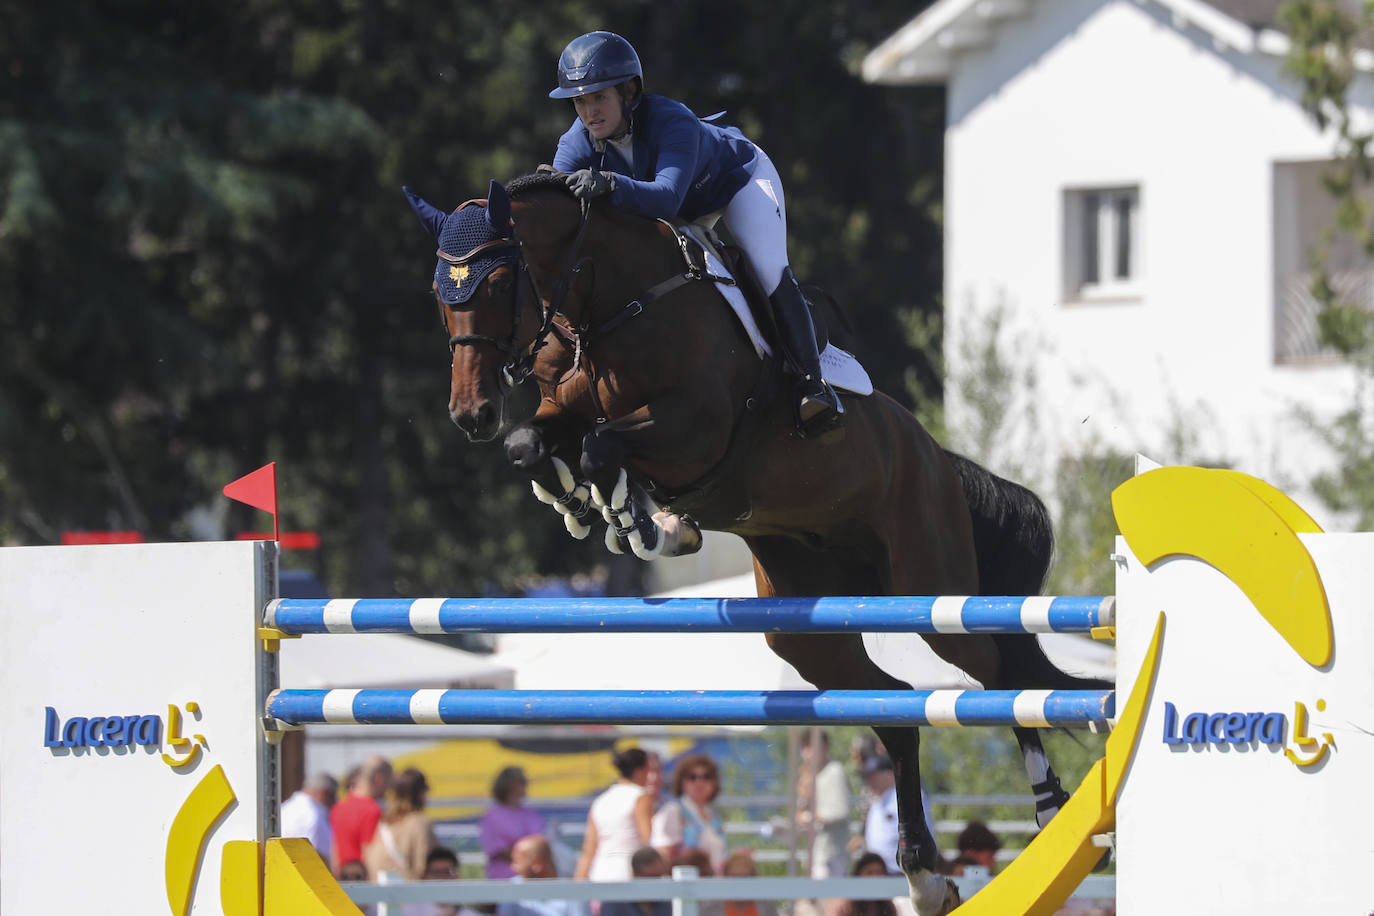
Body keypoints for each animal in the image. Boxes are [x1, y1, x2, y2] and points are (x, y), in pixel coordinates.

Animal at [406, 175, 1093, 911]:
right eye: (439, 294)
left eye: (501, 280)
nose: (470, 413)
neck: (610, 306)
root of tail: (935, 455)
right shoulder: (563, 406)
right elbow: (535, 443)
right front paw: (593, 507)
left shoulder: (694, 429)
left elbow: (602, 446)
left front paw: (640, 521)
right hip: (806, 630)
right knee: (895, 711)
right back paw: (925, 874)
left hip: (932, 589)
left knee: (998, 674)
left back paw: (1048, 807)